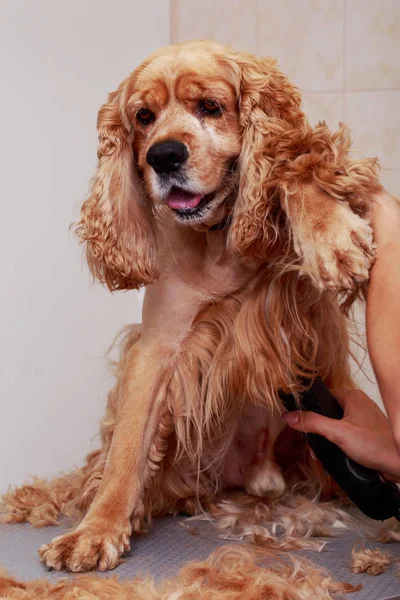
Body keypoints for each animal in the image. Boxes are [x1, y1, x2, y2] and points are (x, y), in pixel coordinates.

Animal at [1, 39, 380, 576]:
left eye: (211, 106)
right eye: (143, 116)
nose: (163, 155)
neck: (216, 237)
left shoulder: (301, 307)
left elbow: (291, 169)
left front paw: (331, 234)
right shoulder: (158, 347)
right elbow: (126, 452)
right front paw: (97, 531)